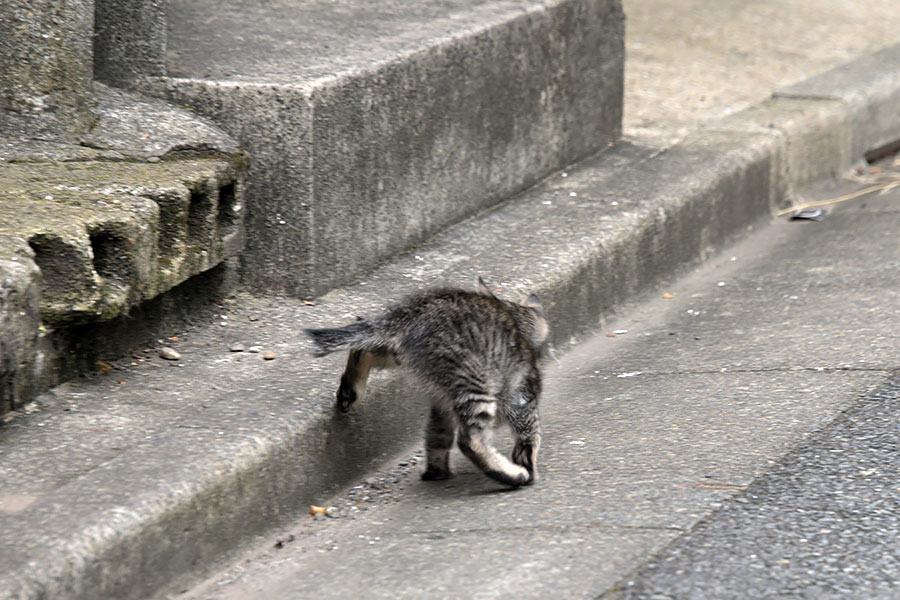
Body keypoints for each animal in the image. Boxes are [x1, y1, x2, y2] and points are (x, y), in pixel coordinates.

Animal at [306, 280, 548, 488]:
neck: (514, 319)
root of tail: (408, 314)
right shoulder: (521, 394)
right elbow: (529, 434)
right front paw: (527, 462)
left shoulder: (441, 406)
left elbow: (436, 436)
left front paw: (435, 470)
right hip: (475, 381)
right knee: (470, 440)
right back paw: (511, 474)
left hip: (399, 353)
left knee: (361, 348)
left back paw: (349, 390)